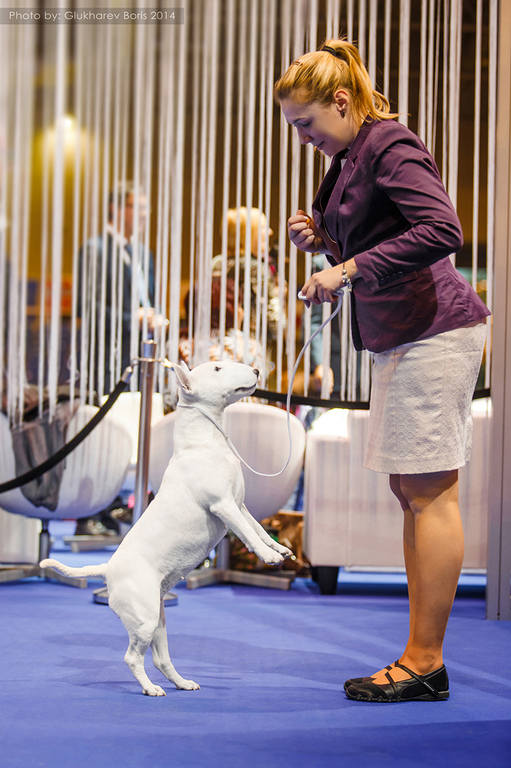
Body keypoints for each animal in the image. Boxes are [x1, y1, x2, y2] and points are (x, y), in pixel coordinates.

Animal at [41, 359, 293, 696]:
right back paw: (150, 688)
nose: (255, 370)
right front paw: (269, 558)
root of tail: (107, 568)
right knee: (132, 657)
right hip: (144, 617)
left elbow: (258, 530)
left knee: (160, 658)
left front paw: (280, 549)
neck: (204, 442)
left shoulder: (239, 505)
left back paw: (183, 683)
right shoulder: (223, 506)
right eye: (217, 368)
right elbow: (249, 535)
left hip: (157, 616)